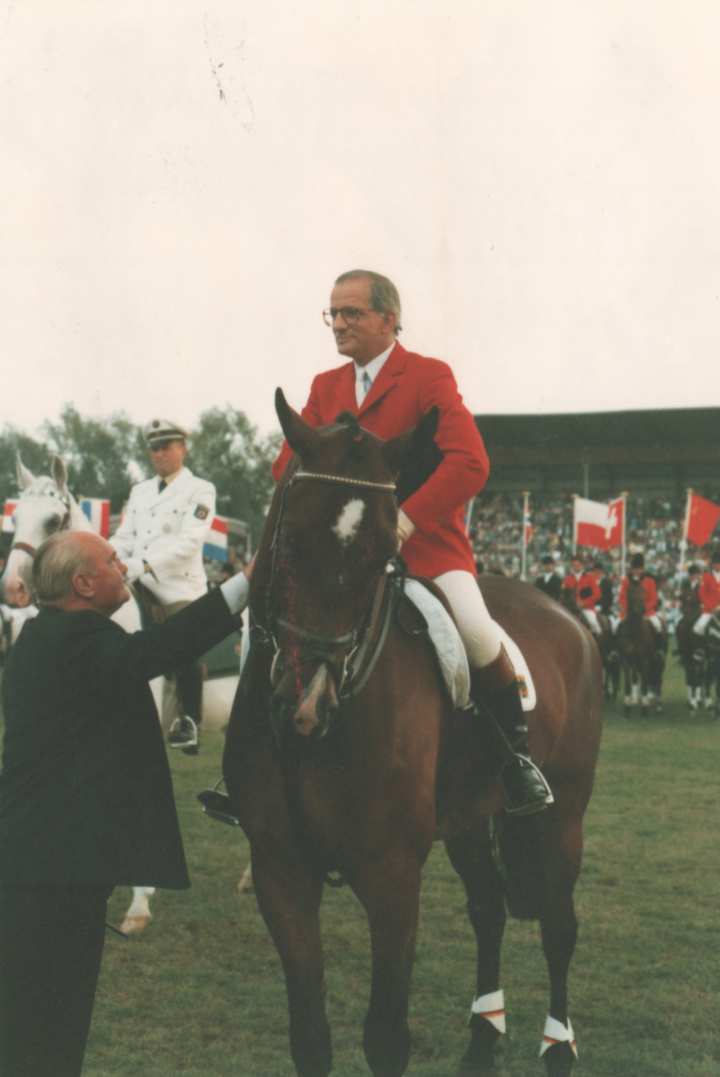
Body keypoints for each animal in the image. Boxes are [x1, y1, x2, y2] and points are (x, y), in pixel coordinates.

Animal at [222, 394, 602, 1077]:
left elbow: (385, 1037)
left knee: (559, 926)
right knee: (489, 910)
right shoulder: (280, 870)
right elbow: (310, 1036)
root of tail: (571, 616)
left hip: (563, 816)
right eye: (290, 539)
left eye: (382, 557)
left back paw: (558, 1047)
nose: (306, 706)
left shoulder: (393, 875)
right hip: (470, 817)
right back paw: (482, 1040)